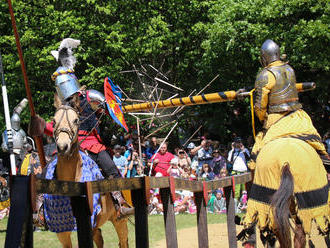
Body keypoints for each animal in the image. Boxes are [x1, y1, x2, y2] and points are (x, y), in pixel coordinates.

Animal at [49, 95, 128, 248]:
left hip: (119, 220)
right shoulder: (62, 233)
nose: (63, 146)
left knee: (123, 241)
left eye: (76, 120)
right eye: (54, 121)